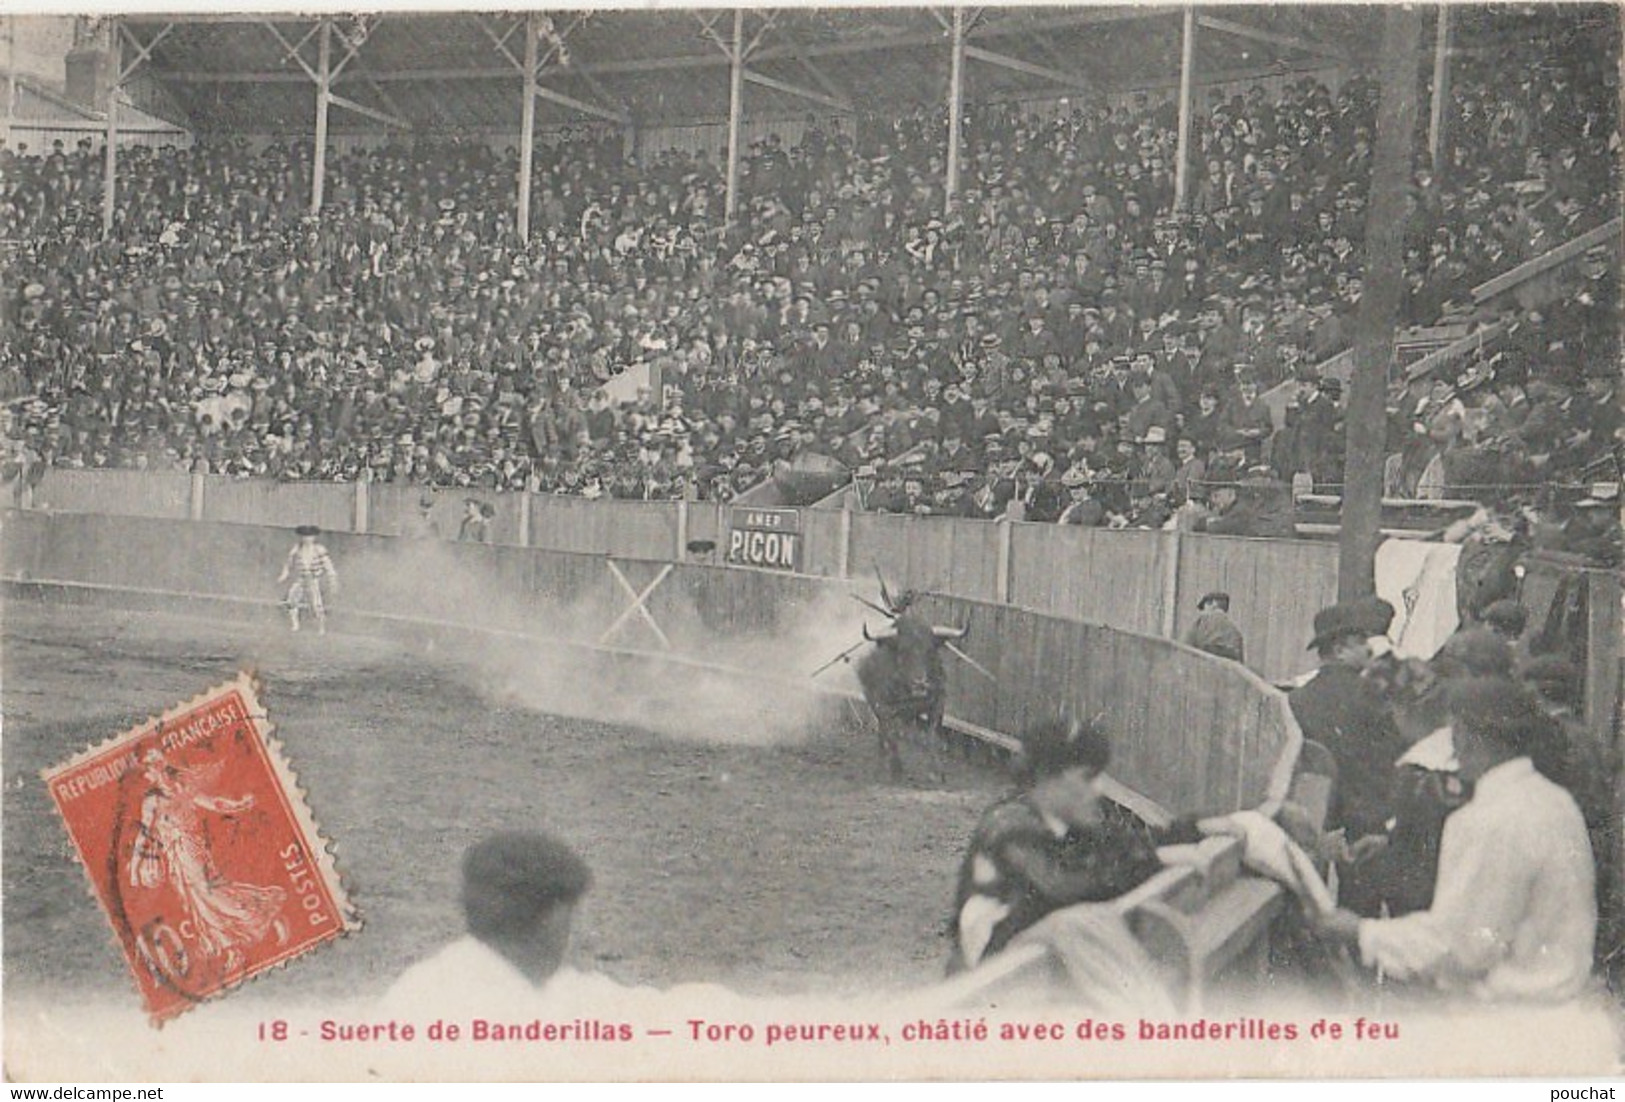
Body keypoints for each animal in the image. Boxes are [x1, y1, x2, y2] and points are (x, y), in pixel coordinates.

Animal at [851, 614, 962, 786]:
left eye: (930, 649)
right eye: (903, 650)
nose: (920, 682)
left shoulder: (938, 704)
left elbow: (932, 736)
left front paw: (936, 772)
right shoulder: (885, 708)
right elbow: (892, 737)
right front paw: (896, 770)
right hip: (874, 703)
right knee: (883, 732)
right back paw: (881, 765)